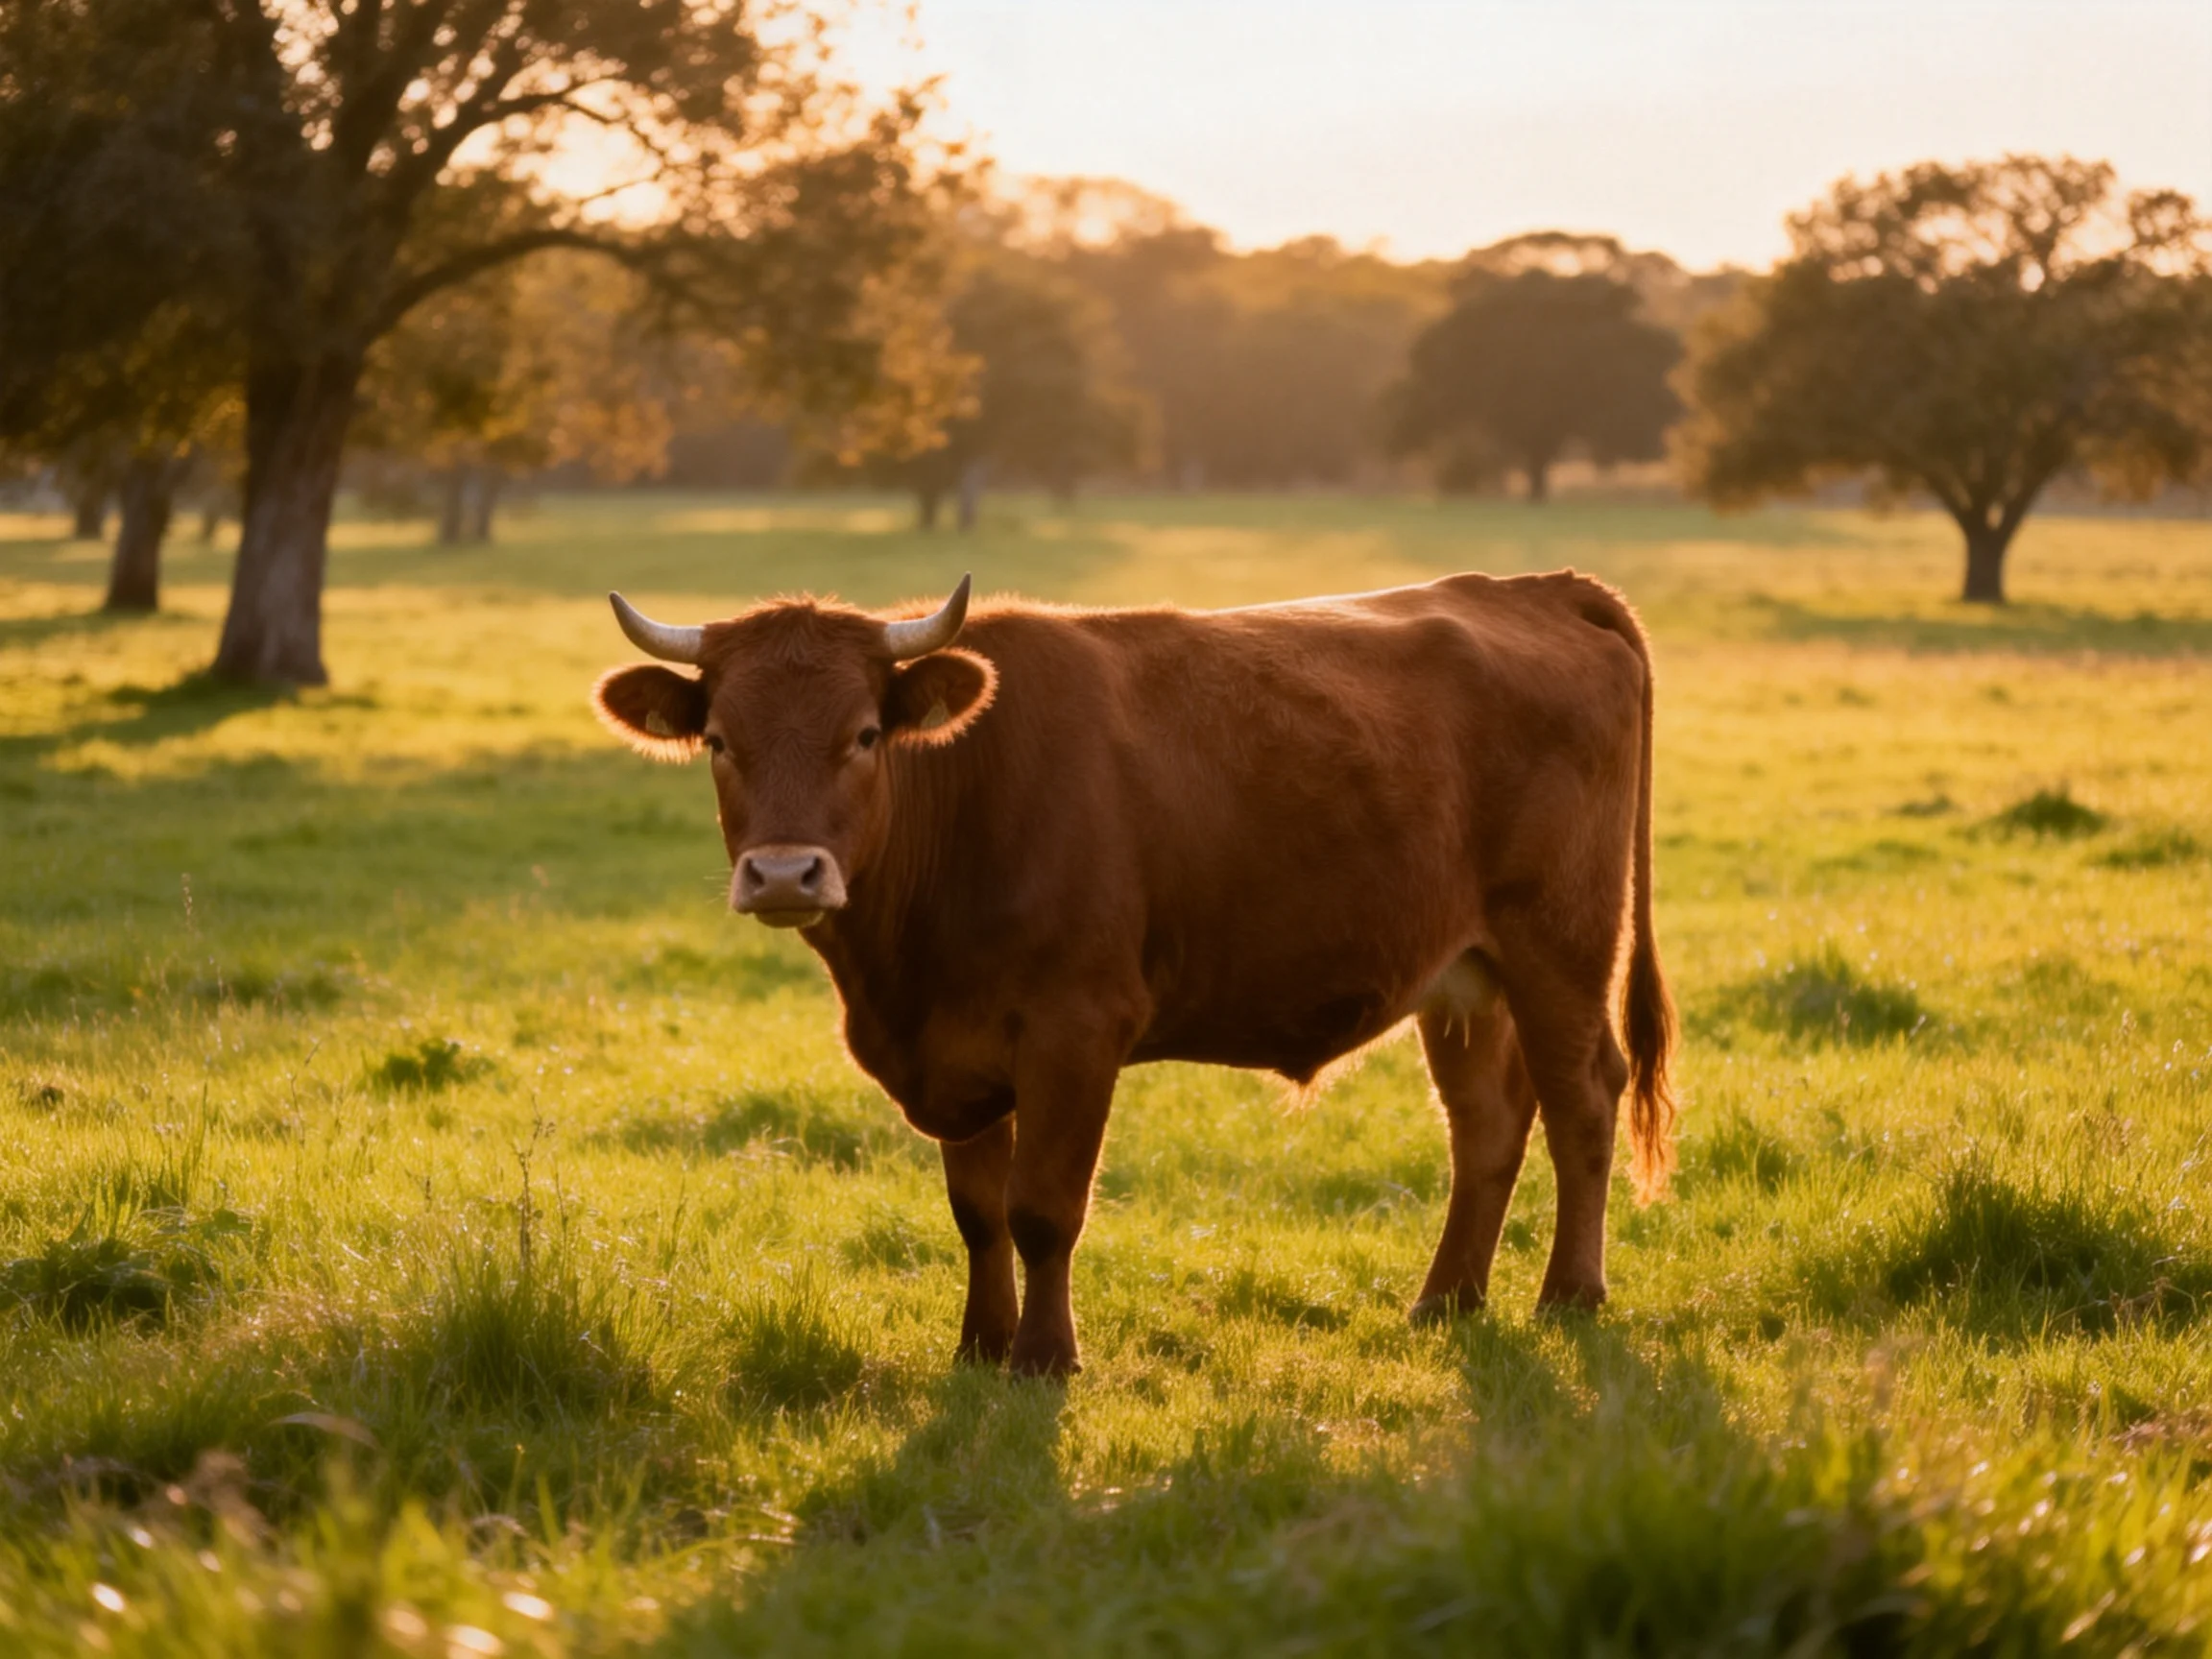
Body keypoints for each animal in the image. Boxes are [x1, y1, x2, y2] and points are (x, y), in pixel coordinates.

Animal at [592, 570, 1675, 1377]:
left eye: (862, 734)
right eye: (720, 740)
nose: (785, 873)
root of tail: (1534, 588)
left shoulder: (1076, 1030)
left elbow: (1042, 1208)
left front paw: (1042, 1357)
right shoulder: (959, 1049)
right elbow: (977, 1213)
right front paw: (979, 1348)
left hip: (1560, 943)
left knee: (1583, 1099)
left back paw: (1569, 1295)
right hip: (1463, 976)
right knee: (1487, 1124)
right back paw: (1446, 1301)